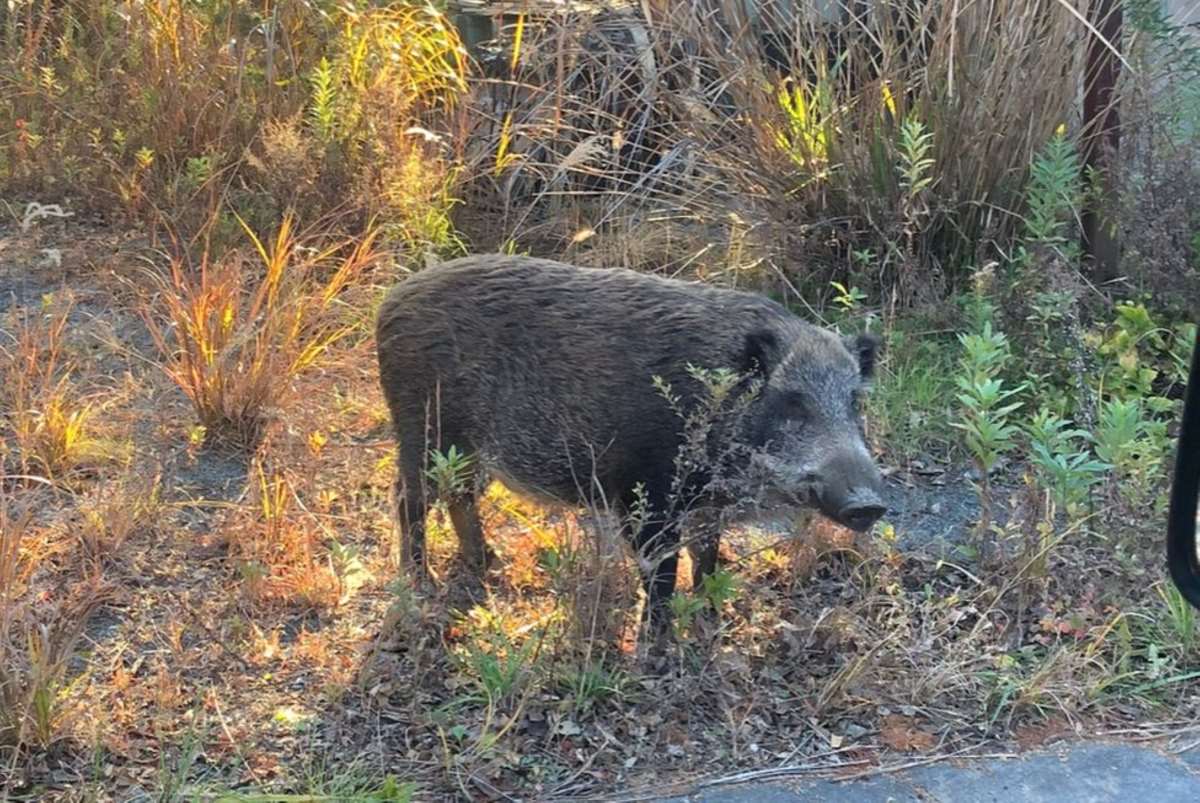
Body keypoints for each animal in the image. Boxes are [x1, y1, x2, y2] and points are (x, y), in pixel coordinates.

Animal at [375, 255, 886, 633]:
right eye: (793, 402)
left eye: (854, 402)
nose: (870, 504)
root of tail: (391, 300)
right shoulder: (647, 493)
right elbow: (661, 572)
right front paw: (657, 643)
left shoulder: (705, 505)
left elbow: (708, 559)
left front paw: (712, 618)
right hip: (425, 430)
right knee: (408, 500)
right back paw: (422, 582)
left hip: (467, 451)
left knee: (459, 495)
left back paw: (486, 562)